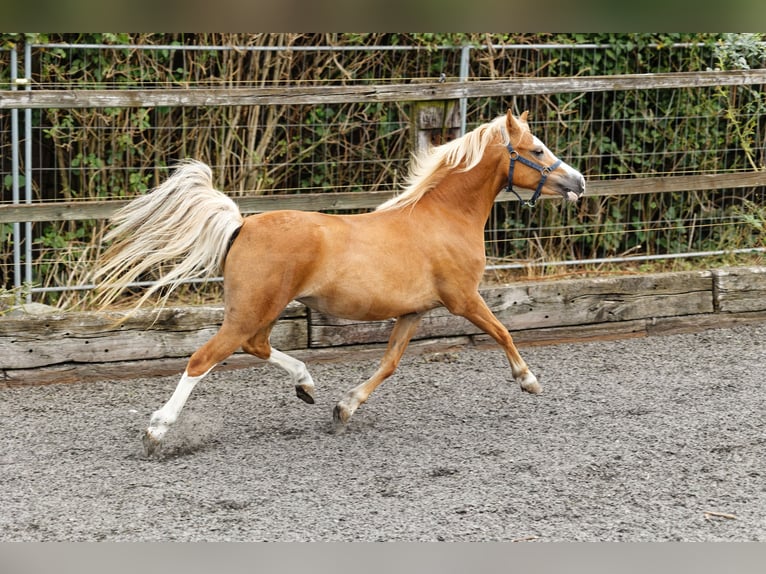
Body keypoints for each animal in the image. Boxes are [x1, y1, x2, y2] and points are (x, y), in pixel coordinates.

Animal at [93, 110, 584, 456]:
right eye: (537, 150)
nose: (578, 182)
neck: (445, 217)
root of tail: (242, 224)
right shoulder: (463, 299)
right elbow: (503, 331)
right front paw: (528, 380)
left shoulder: (413, 312)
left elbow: (389, 364)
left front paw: (343, 409)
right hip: (251, 310)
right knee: (203, 359)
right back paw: (156, 432)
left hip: (259, 311)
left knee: (256, 346)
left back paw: (306, 385)